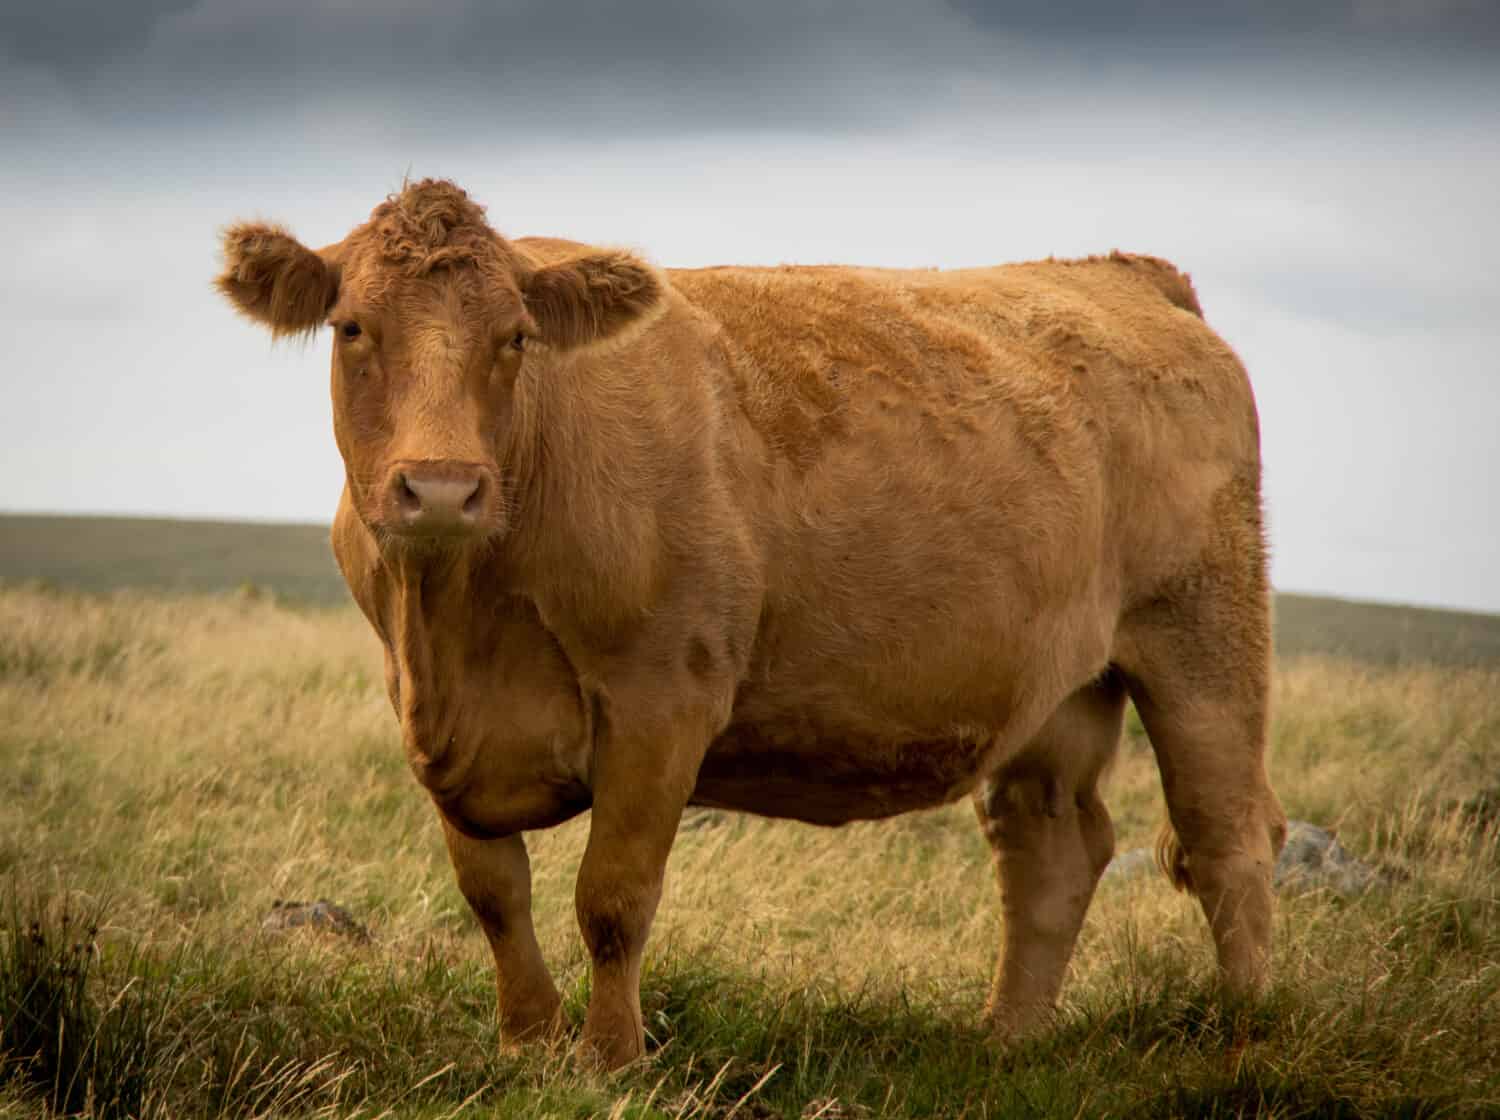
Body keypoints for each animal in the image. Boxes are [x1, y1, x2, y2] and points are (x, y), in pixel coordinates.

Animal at [214, 182, 1290, 1067]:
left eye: (516, 337)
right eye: (352, 327)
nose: (440, 488)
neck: (464, 618)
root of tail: (1126, 276)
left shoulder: (663, 700)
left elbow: (612, 897)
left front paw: (609, 1060)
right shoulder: (430, 719)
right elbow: (494, 894)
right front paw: (527, 1043)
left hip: (1204, 637)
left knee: (1227, 838)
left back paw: (1243, 1035)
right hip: (1062, 685)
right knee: (1052, 845)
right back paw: (1007, 1038)